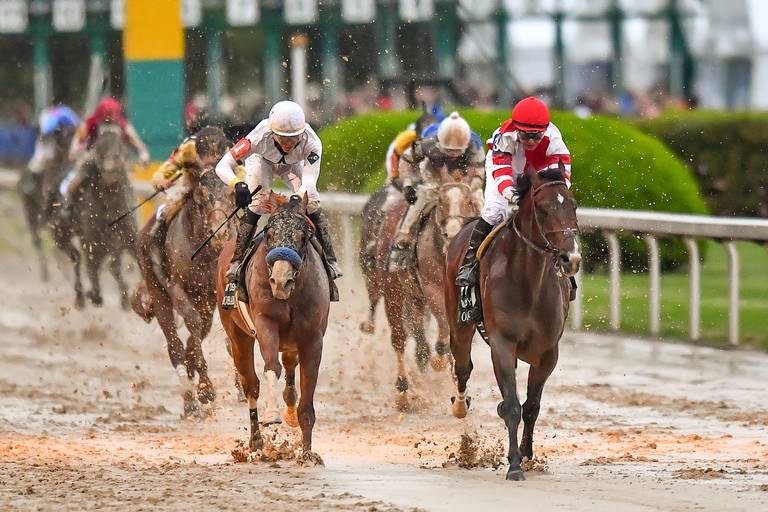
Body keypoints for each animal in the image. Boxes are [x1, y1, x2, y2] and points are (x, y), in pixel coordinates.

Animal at [134, 159, 232, 416]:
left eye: (230, 193)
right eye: (202, 196)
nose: (221, 233)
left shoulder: (210, 296)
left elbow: (199, 331)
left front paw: (197, 374)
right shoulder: (175, 286)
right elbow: (192, 324)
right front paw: (206, 389)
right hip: (157, 290)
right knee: (173, 345)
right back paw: (190, 402)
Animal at [214, 194, 328, 458]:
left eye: (303, 236)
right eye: (269, 234)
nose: (281, 281)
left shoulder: (312, 338)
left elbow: (306, 395)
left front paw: (307, 454)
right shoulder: (266, 323)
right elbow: (271, 367)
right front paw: (272, 415)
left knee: (289, 366)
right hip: (237, 336)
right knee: (250, 384)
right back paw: (256, 441)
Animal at [360, 180, 480, 408]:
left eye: (469, 201)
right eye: (441, 202)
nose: (453, 233)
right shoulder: (432, 289)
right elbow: (444, 330)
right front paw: (439, 360)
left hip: (413, 295)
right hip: (393, 291)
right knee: (399, 337)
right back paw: (403, 391)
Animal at [440, 166, 580, 482]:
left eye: (573, 205)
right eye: (543, 208)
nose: (572, 258)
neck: (530, 282)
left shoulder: (548, 354)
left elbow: (531, 407)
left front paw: (526, 455)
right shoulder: (502, 345)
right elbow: (513, 406)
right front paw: (514, 465)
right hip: (459, 325)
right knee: (462, 367)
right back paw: (460, 406)